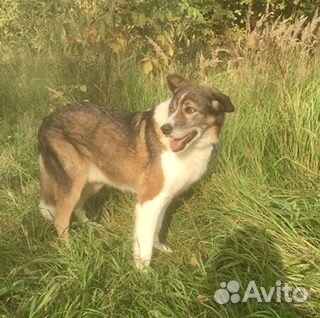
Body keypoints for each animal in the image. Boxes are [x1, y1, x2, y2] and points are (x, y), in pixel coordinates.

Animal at [38, 74, 235, 268]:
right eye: (172, 109)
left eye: (190, 110)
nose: (165, 129)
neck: (194, 147)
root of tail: (47, 119)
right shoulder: (148, 200)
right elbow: (144, 244)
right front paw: (143, 271)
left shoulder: (162, 198)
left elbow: (156, 228)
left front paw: (159, 248)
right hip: (74, 183)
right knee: (60, 220)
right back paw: (69, 252)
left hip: (93, 181)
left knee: (78, 206)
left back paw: (91, 226)